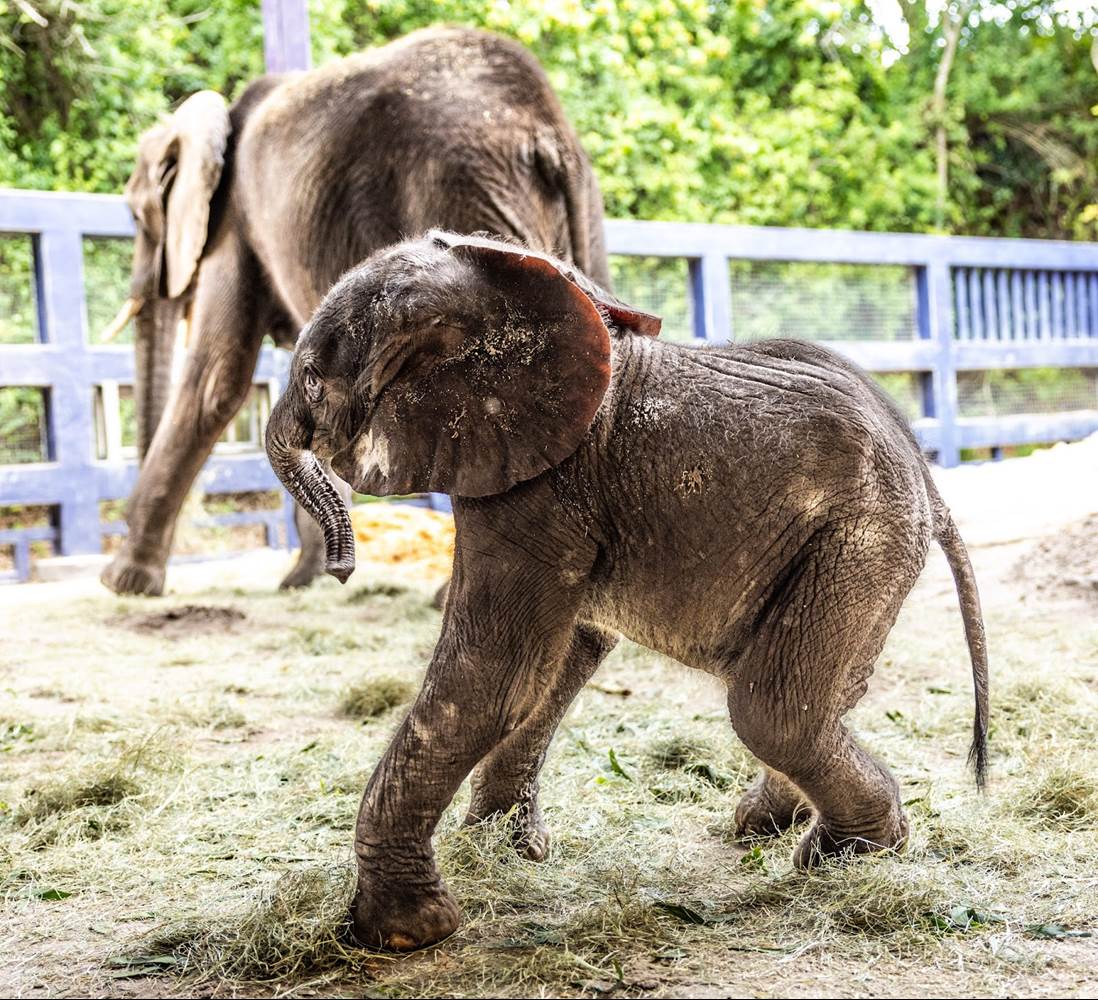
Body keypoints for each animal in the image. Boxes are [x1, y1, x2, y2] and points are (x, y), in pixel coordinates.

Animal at [99, 26, 609, 597]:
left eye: (138, 216)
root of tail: (544, 128)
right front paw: (302, 581)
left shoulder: (234, 221)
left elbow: (215, 379)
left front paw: (122, 583)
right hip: (576, 208)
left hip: (461, 189)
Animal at [264, 232, 991, 951]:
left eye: (312, 378)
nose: (341, 570)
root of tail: (926, 476)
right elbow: (562, 662)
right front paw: (505, 854)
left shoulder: (539, 489)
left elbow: (497, 677)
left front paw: (402, 932)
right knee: (826, 691)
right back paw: (767, 824)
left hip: (859, 536)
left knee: (771, 707)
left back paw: (845, 853)